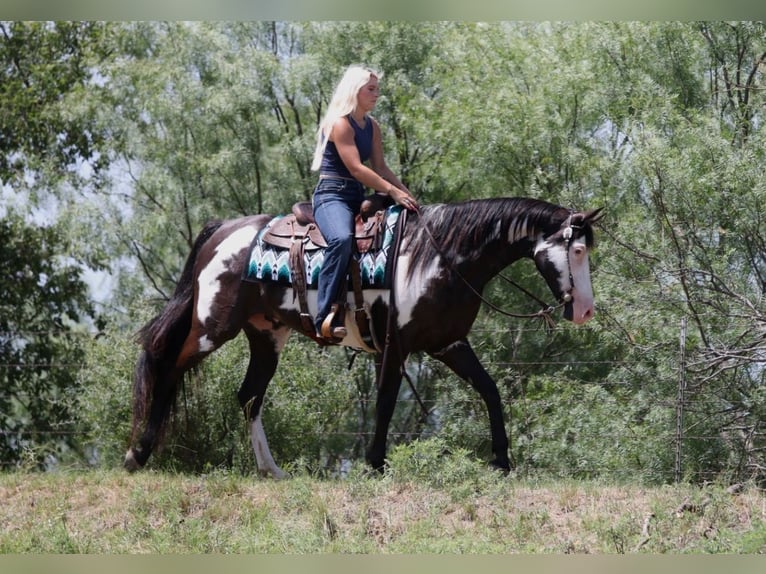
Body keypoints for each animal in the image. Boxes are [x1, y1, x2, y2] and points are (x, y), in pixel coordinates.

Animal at [124, 196, 603, 478]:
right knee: (168, 372)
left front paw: (502, 461)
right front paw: (376, 464)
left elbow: (490, 390)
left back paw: (270, 470)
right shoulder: (396, 345)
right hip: (211, 327)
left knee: (249, 397)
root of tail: (224, 230)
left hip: (266, 335)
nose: (584, 310)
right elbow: (386, 402)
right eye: (577, 250)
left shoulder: (448, 344)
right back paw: (138, 455)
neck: (439, 256)